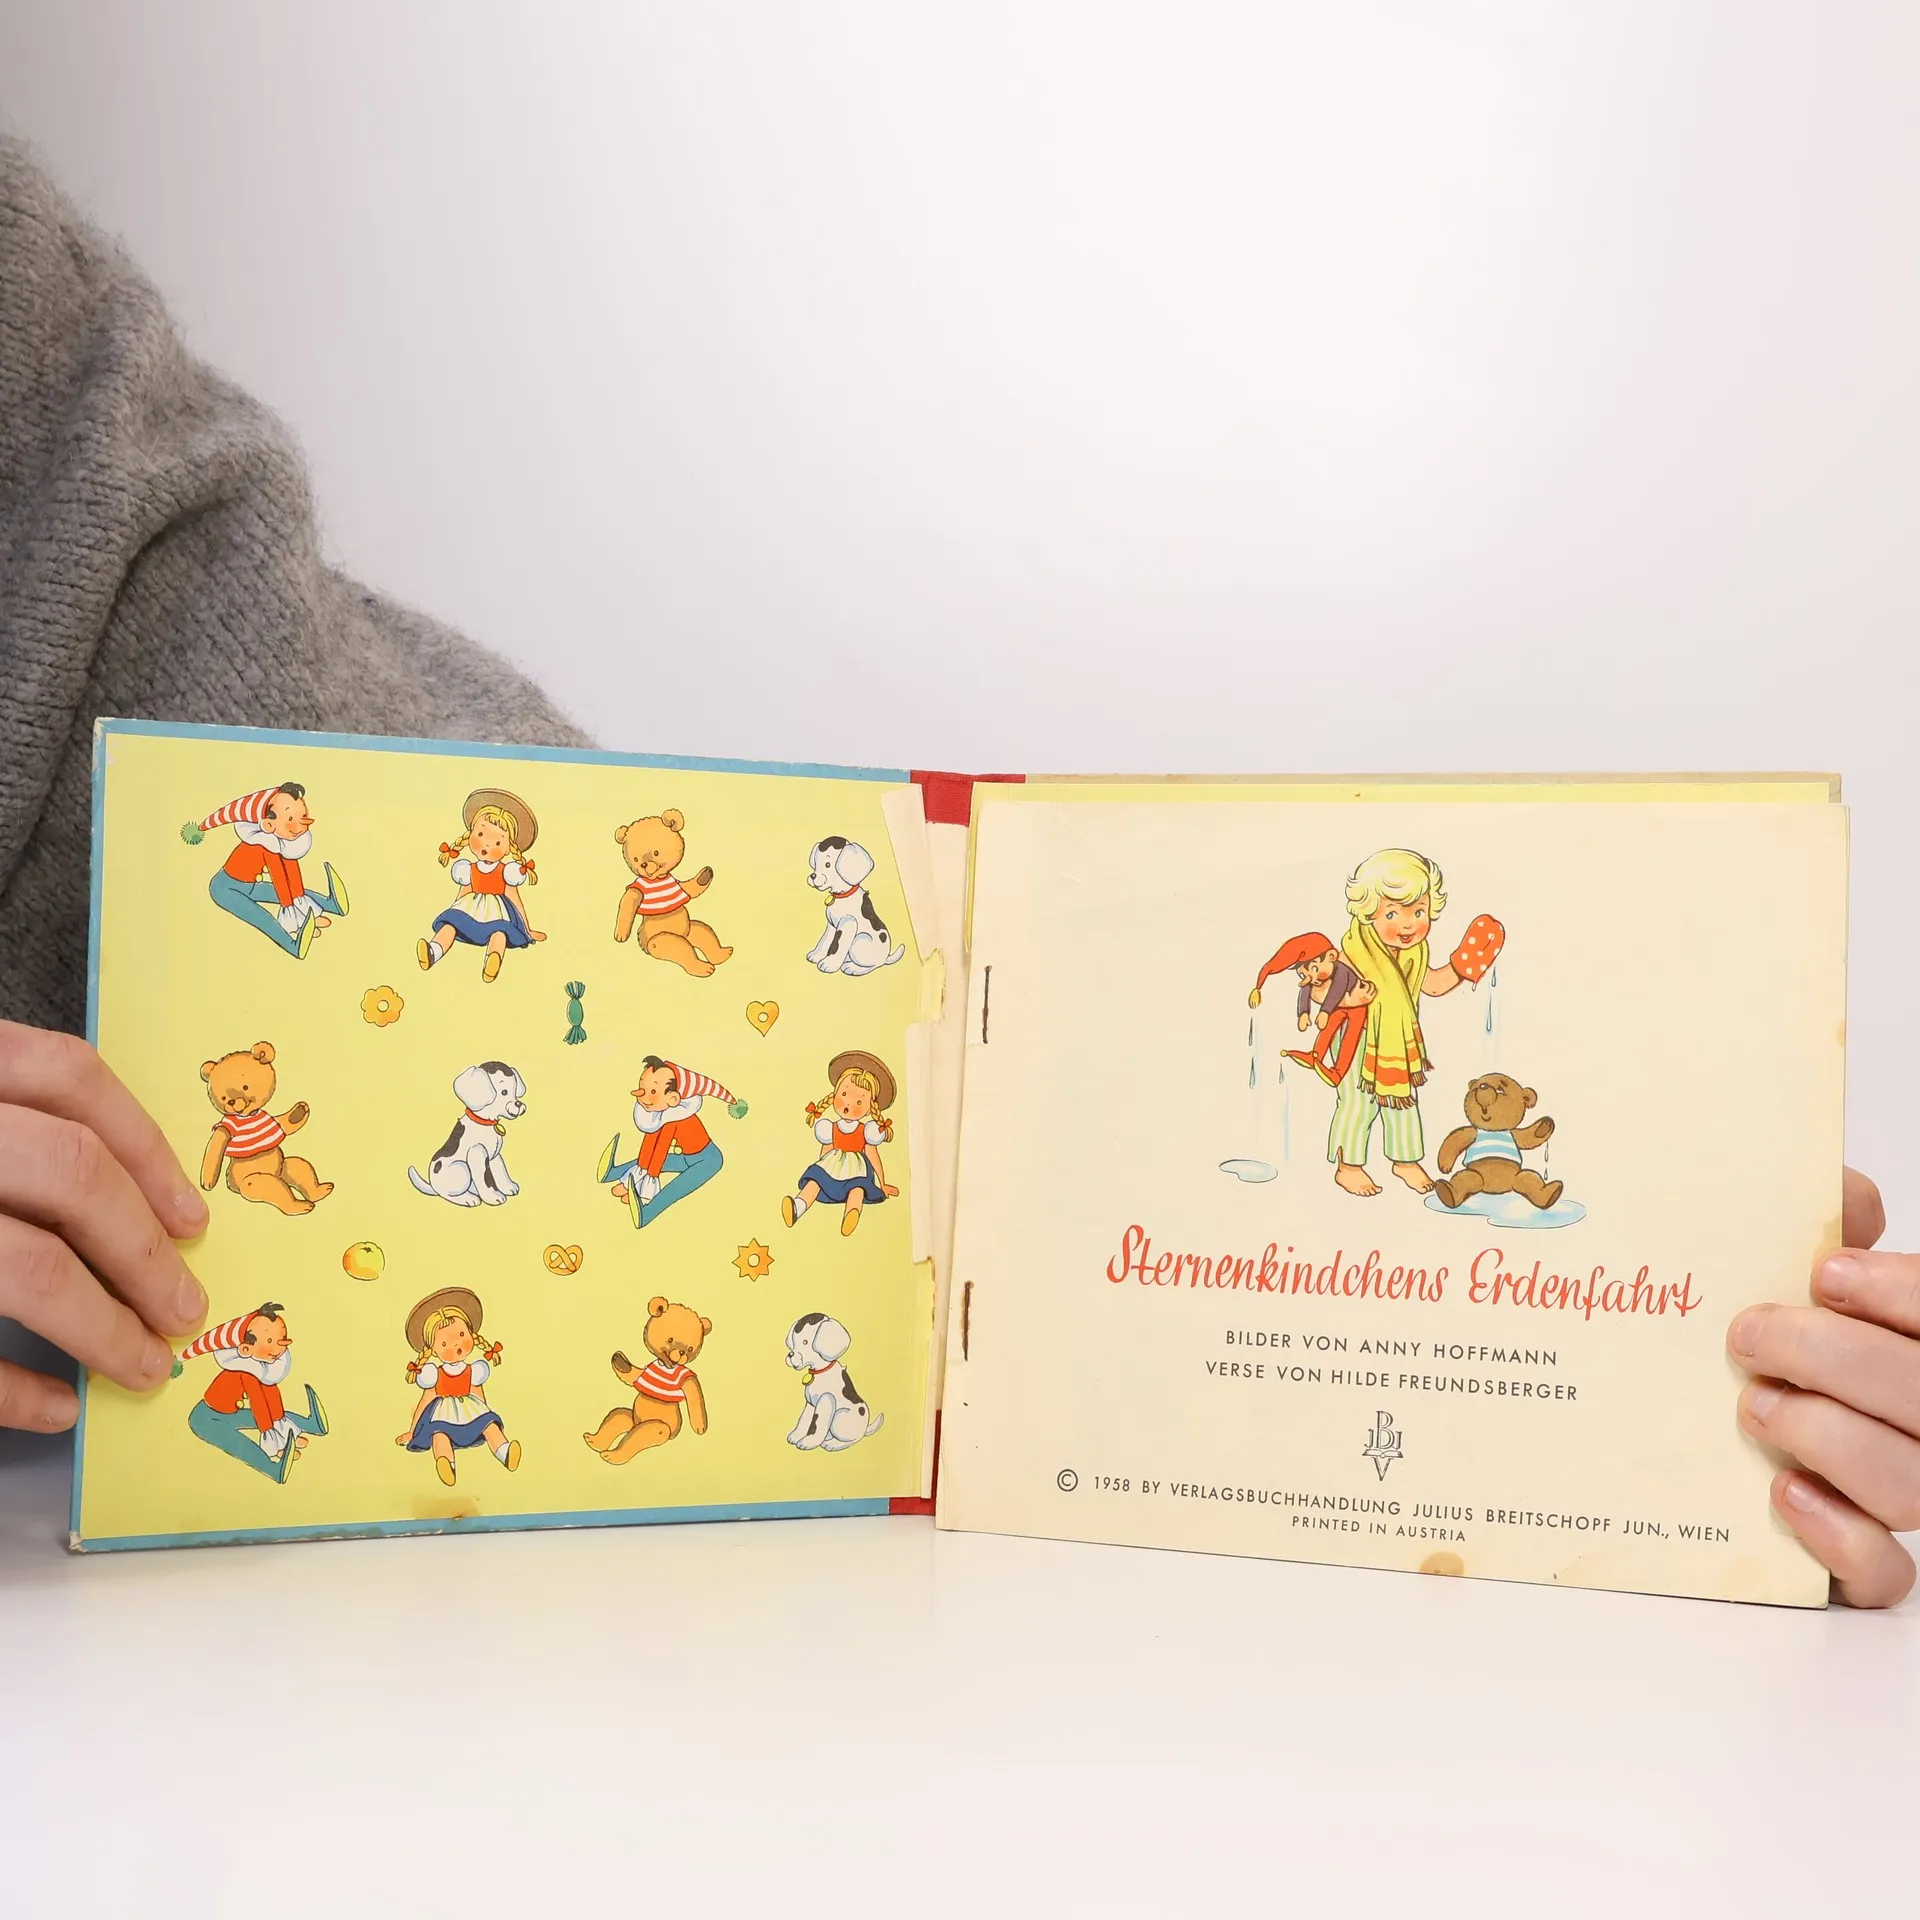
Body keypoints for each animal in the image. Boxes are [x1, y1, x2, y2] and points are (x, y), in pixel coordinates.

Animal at [408, 1062, 527, 1207]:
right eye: (504, 1092)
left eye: (515, 1092)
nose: (519, 1104)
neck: (484, 1123)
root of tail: (433, 1186)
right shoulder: (477, 1153)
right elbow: (486, 1179)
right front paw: (494, 1197)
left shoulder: (494, 1156)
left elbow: (500, 1171)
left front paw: (508, 1186)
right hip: (461, 1168)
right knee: (446, 1194)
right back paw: (468, 1198)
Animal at [784, 1312, 884, 1451]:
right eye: (794, 1343)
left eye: (805, 1342)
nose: (790, 1355)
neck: (820, 1372)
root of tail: (864, 1429)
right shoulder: (810, 1403)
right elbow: (804, 1420)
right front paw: (796, 1435)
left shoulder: (826, 1400)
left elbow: (816, 1424)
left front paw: (808, 1442)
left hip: (839, 1417)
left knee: (853, 1439)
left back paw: (833, 1444)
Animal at [805, 838, 906, 977]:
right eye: (815, 864)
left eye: (827, 864)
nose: (813, 876)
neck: (843, 895)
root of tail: (885, 957)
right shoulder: (832, 925)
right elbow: (825, 940)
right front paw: (817, 955)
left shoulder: (848, 923)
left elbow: (837, 945)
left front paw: (828, 964)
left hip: (860, 940)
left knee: (874, 965)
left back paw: (853, 968)